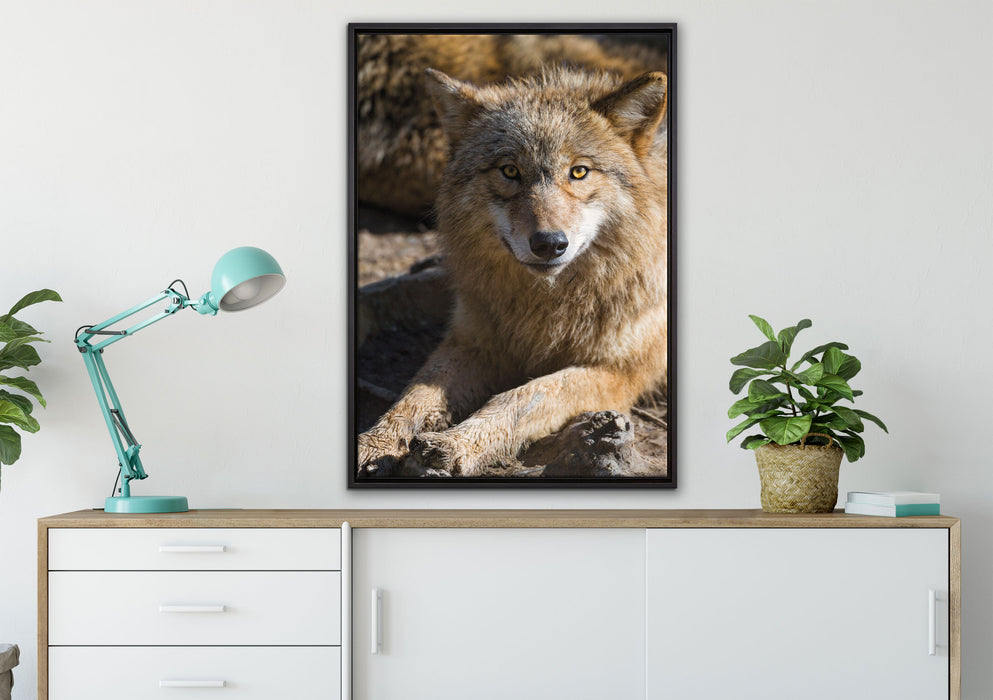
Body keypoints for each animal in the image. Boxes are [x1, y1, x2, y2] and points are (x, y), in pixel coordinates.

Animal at [357, 63, 669, 477]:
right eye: (509, 170)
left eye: (579, 172)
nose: (549, 243)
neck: (545, 307)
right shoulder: (472, 340)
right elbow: (414, 395)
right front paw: (376, 442)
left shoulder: (616, 372)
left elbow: (523, 396)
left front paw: (456, 443)